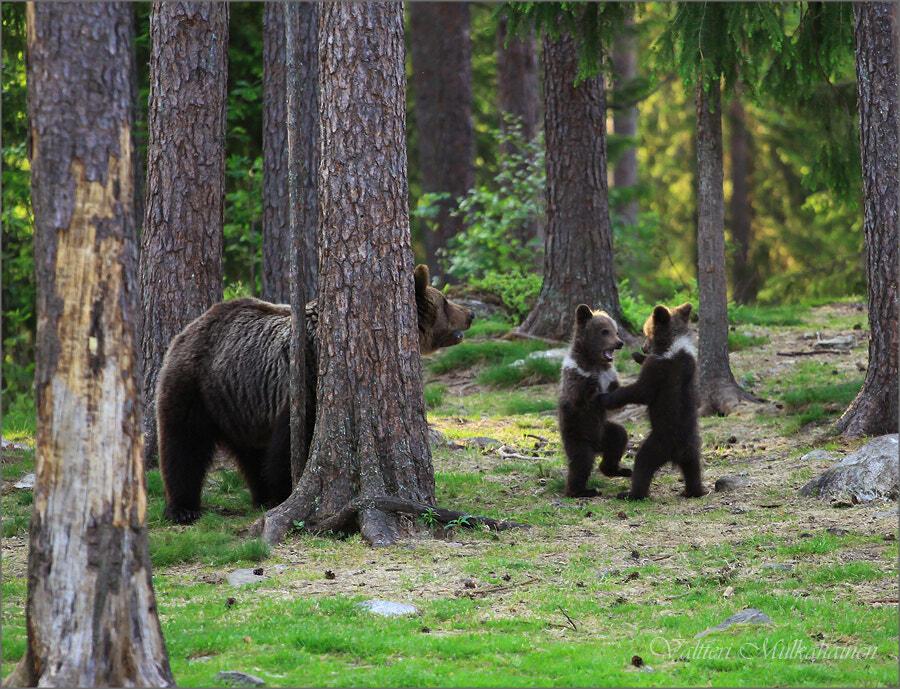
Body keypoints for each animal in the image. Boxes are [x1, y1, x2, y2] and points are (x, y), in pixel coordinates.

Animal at [157, 264, 474, 520]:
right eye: (446, 301)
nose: (470, 314)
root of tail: (191, 326)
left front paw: (276, 494)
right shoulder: (304, 384)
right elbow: (288, 447)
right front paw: (285, 492)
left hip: (240, 401)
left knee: (250, 452)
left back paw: (259, 496)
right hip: (196, 386)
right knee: (184, 443)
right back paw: (183, 508)